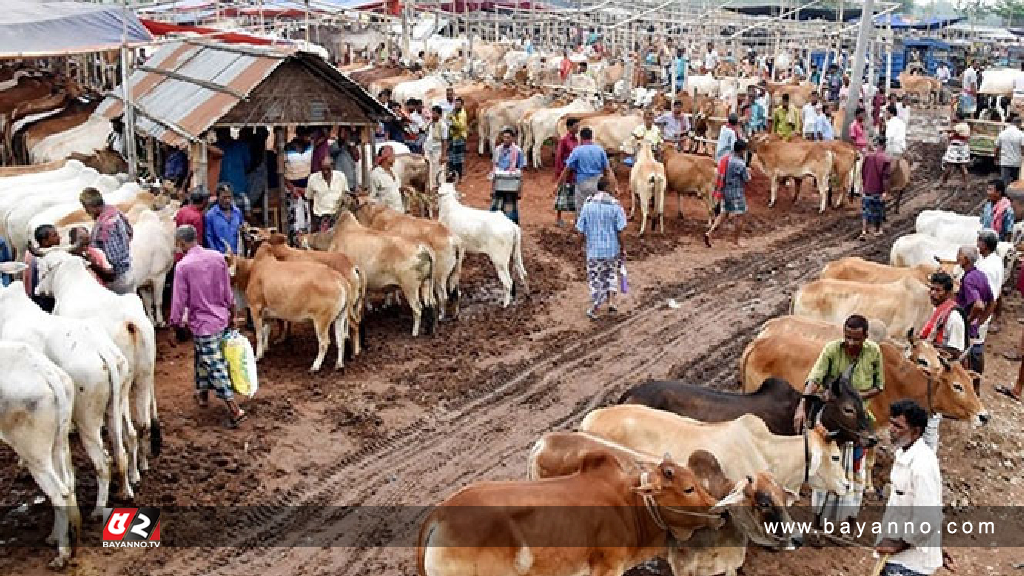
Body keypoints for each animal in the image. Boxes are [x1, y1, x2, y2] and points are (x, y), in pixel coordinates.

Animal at [0, 276, 132, 508]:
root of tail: (103, 351)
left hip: (87, 419)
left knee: (103, 462)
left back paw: (98, 509)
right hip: (114, 407)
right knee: (119, 450)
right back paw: (125, 492)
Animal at [0, 338, 79, 565]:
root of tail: (45, 371)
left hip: (33, 452)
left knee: (59, 493)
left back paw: (62, 554)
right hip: (57, 444)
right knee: (68, 485)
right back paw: (54, 537)